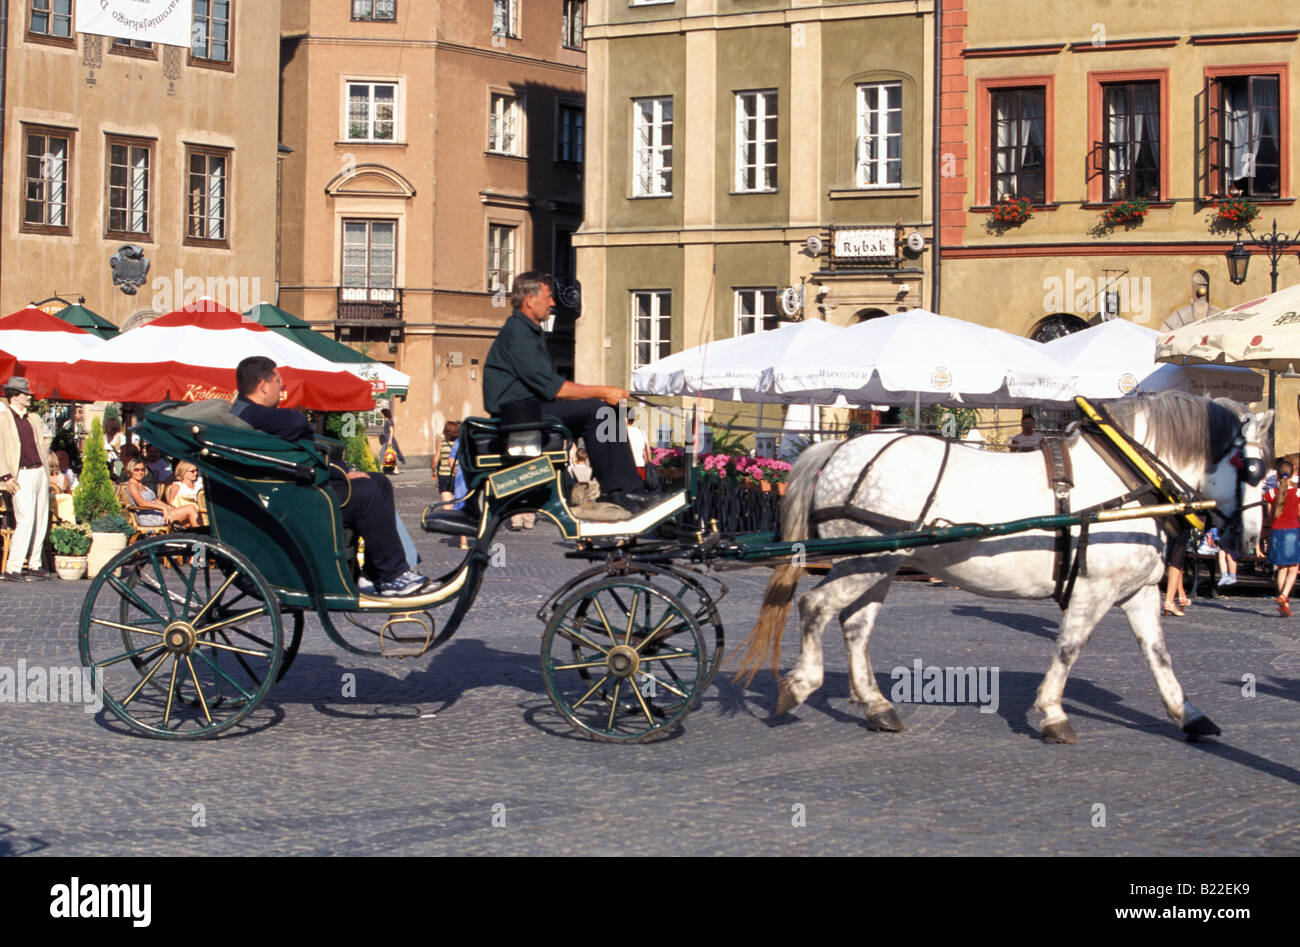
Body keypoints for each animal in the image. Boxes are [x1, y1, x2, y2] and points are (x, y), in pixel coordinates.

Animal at [738, 390, 1274, 738]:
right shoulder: (1093, 590)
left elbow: (1158, 655)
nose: (1251, 540)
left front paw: (1188, 714)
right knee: (814, 609)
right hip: (864, 563)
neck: (1130, 479)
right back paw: (801, 684)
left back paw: (876, 705)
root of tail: (841, 448)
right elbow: (1069, 648)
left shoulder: (1137, 592)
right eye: (1252, 468)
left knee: (855, 627)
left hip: (877, 566)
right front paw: (1053, 712)